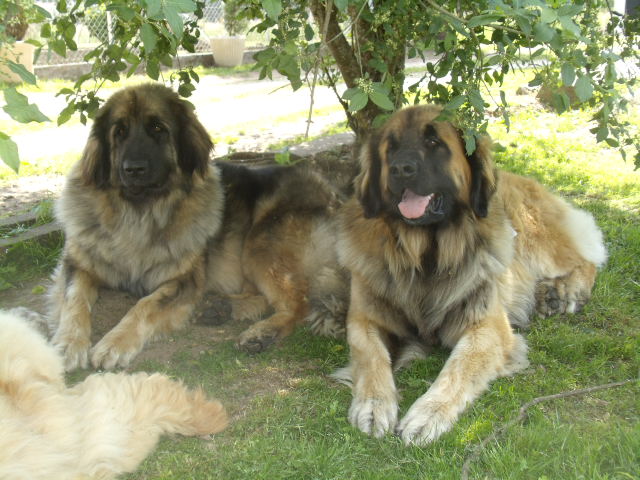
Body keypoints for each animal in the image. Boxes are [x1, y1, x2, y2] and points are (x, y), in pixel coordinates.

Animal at [49, 83, 347, 371]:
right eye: (119, 132)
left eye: (158, 128)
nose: (133, 169)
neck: (139, 212)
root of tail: (334, 196)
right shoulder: (77, 264)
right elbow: (73, 299)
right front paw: (67, 344)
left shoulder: (183, 280)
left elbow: (144, 305)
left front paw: (115, 343)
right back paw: (220, 307)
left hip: (261, 241)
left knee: (299, 303)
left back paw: (261, 332)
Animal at [334, 105, 607, 445]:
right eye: (391, 148)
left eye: (434, 142)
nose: (400, 169)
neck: (426, 255)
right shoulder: (364, 319)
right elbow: (370, 357)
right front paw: (372, 407)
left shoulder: (487, 327)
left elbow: (459, 367)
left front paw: (427, 415)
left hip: (534, 236)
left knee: (584, 260)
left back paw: (564, 292)